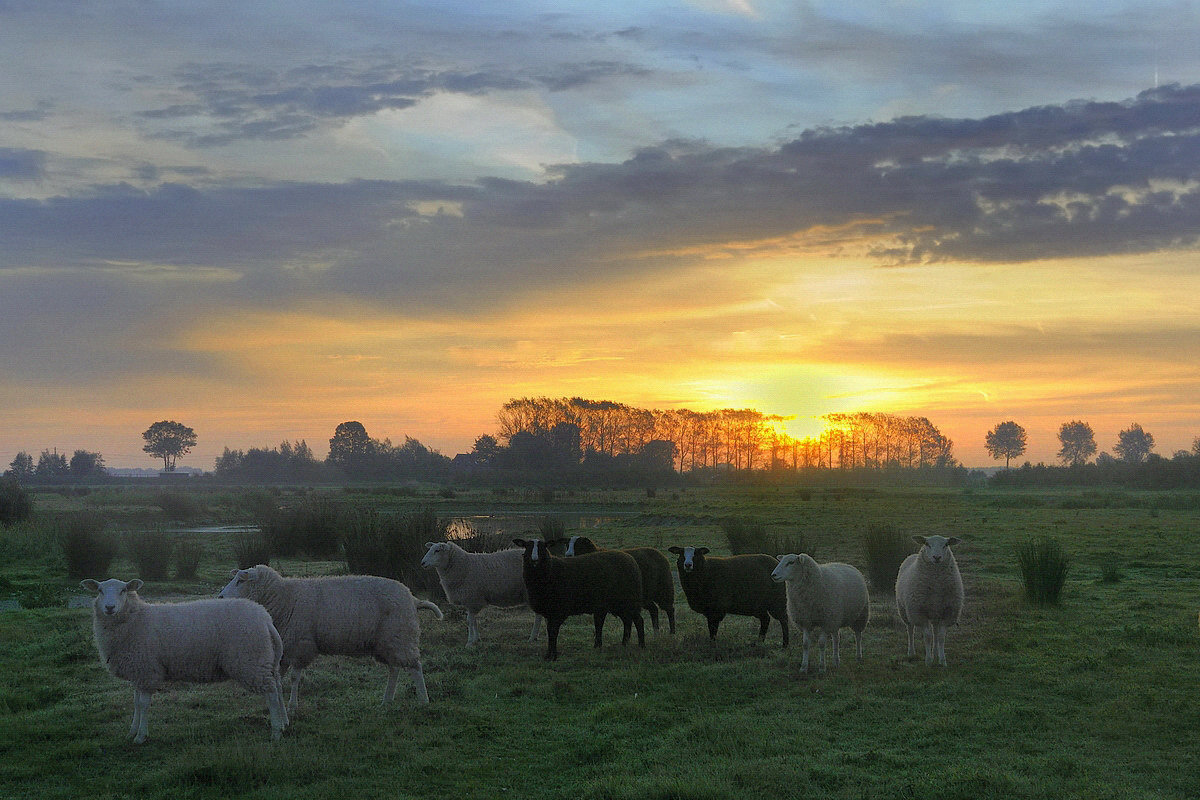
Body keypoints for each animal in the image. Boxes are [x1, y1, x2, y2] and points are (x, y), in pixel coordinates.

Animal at [80, 575, 288, 743]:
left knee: (270, 692)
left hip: (251, 661)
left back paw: (276, 731)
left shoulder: (147, 671)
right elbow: (136, 703)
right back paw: (284, 722)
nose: (109, 607)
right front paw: (132, 731)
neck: (136, 618)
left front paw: (140, 736)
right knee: (278, 687)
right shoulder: (138, 671)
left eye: (123, 590)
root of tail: (265, 619)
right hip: (267, 660)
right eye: (100, 590)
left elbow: (144, 704)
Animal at [219, 566, 441, 710]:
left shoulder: (301, 644)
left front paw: (292, 705)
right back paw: (387, 700)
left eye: (240, 580)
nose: (220, 597)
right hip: (387, 641)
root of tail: (413, 598)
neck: (284, 597)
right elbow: (278, 677)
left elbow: (294, 677)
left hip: (401, 635)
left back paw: (424, 700)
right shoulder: (285, 648)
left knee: (415, 667)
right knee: (394, 669)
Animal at [513, 537, 648, 662]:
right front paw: (548, 655)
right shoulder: (549, 612)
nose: (534, 559)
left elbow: (553, 632)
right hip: (619, 604)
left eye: (543, 547)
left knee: (638, 621)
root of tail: (630, 559)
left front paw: (553, 656)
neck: (551, 571)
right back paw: (624, 644)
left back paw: (641, 646)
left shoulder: (558, 611)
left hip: (630, 600)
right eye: (527, 546)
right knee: (627, 621)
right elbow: (550, 632)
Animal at [892, 537, 964, 671]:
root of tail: (912, 554)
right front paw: (929, 661)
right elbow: (928, 636)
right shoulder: (920, 613)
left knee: (935, 630)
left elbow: (940, 637)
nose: (937, 557)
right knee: (910, 630)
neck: (936, 583)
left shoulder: (947, 612)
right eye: (927, 543)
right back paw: (911, 652)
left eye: (946, 544)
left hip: (935, 612)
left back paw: (935, 652)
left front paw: (942, 660)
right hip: (905, 610)